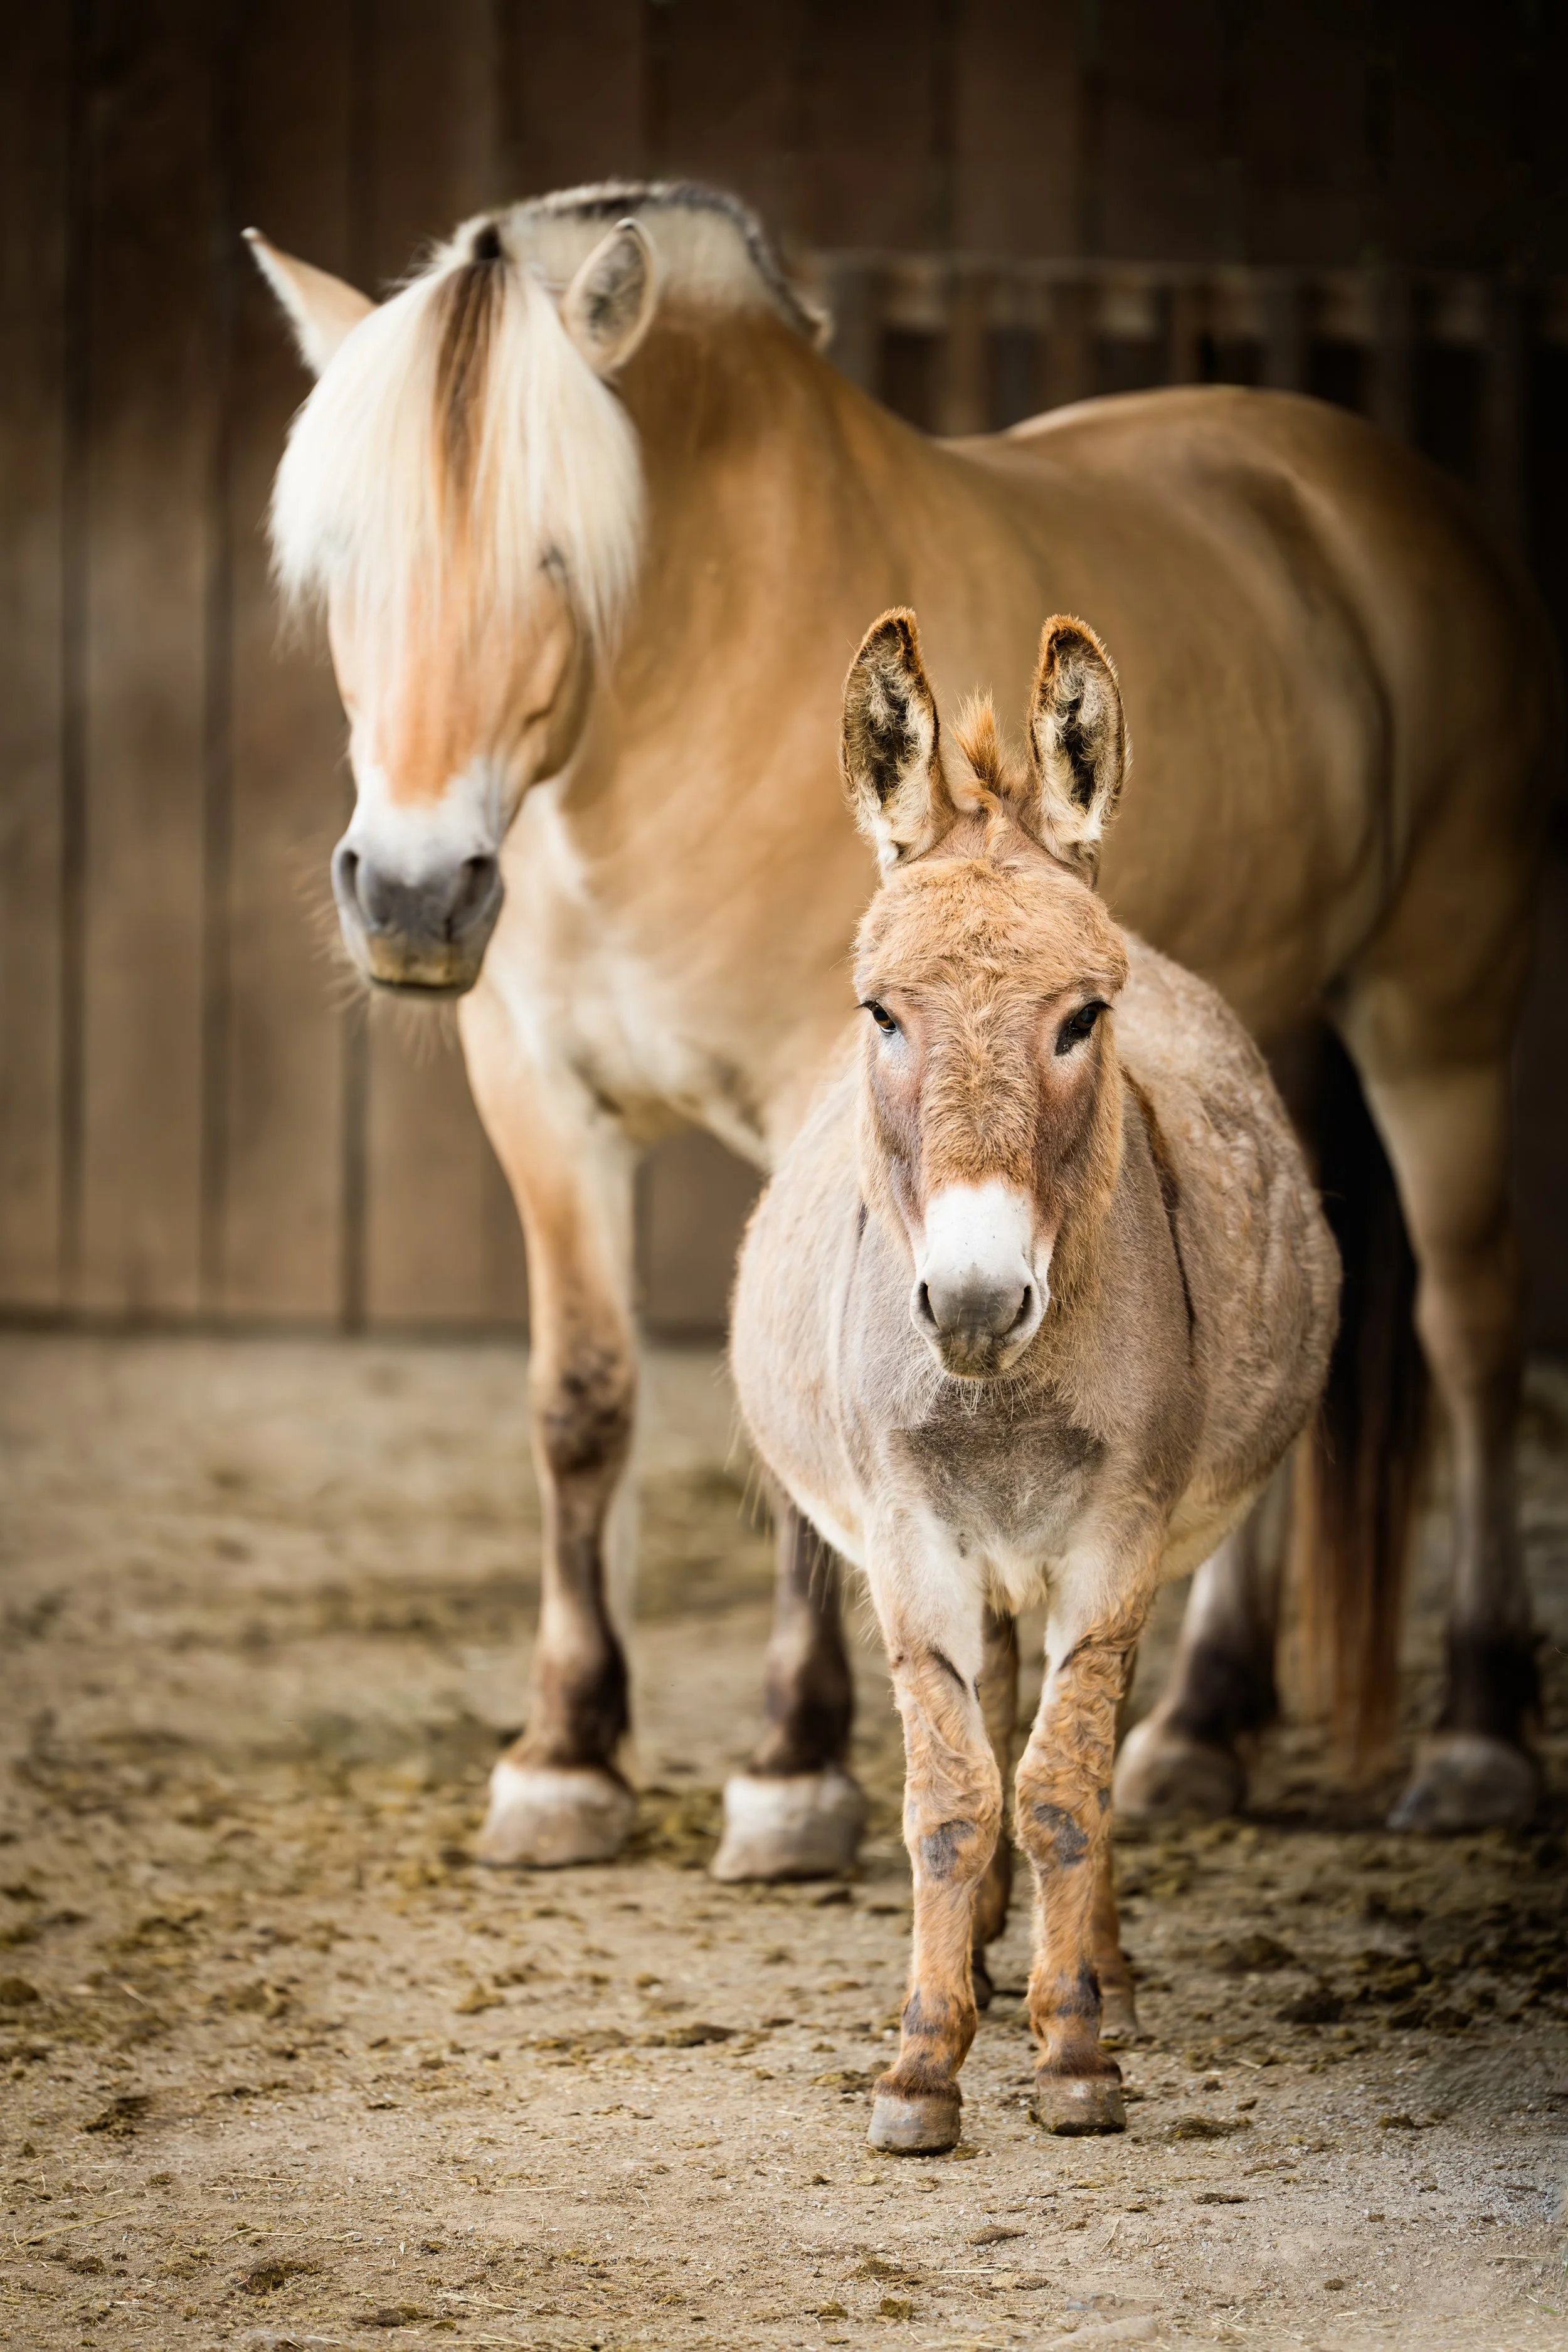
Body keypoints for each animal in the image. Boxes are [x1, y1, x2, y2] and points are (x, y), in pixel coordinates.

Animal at [247, 180, 1556, 1869]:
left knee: (1470, 1328)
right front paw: (567, 1758)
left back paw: (1476, 1738)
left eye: (556, 556)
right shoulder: (542, 1100)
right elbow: (582, 1401)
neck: (689, 692)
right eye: (341, 556)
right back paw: (1200, 1729)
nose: (412, 895)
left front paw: (794, 1769)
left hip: (1434, 1020)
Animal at [732, 609, 1338, 2152]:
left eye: (1080, 1020)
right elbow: (951, 1798)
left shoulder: (1115, 1545)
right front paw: (921, 2061)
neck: (1000, 1401)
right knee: (995, 1718)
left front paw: (1073, 2050)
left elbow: (1066, 1787)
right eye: (881, 1014)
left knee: (1078, 1751)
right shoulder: (908, 1547)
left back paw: (1091, 1973)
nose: (973, 1299)